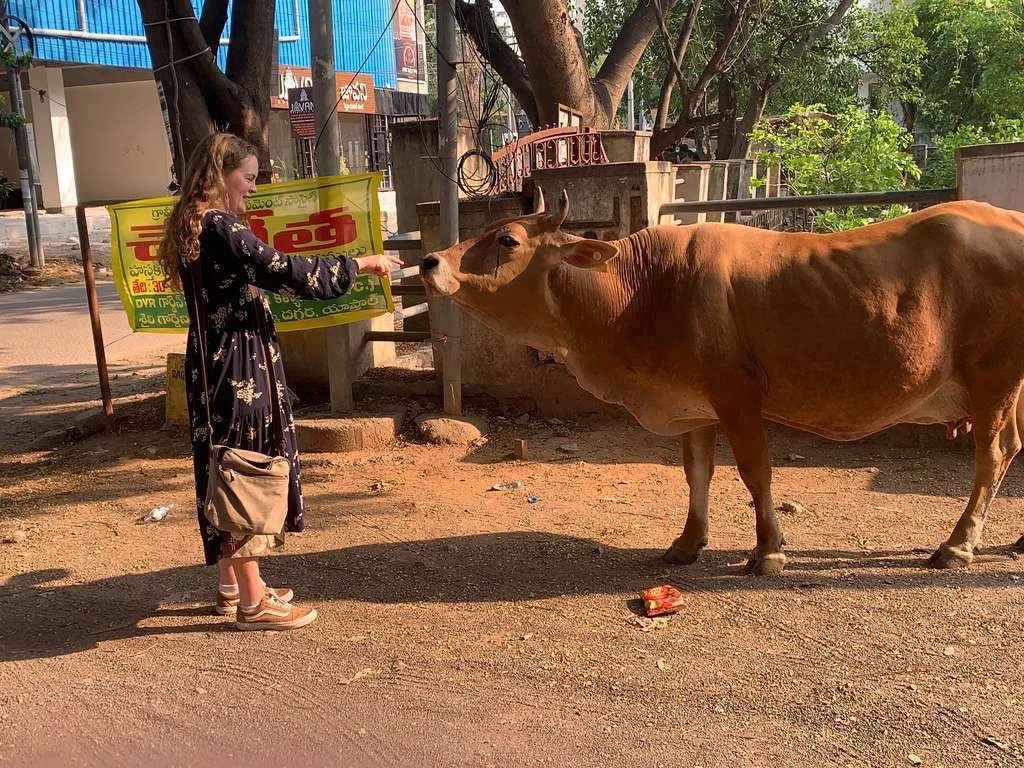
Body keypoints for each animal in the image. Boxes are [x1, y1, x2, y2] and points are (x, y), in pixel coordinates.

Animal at [419, 189, 1024, 574]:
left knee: (993, 457)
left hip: (993, 378)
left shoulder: (736, 397)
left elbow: (756, 473)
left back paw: (958, 546)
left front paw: (769, 550)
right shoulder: (694, 406)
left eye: (508, 240)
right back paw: (1016, 541)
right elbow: (697, 475)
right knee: (1014, 449)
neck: (641, 291)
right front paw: (688, 543)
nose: (429, 262)